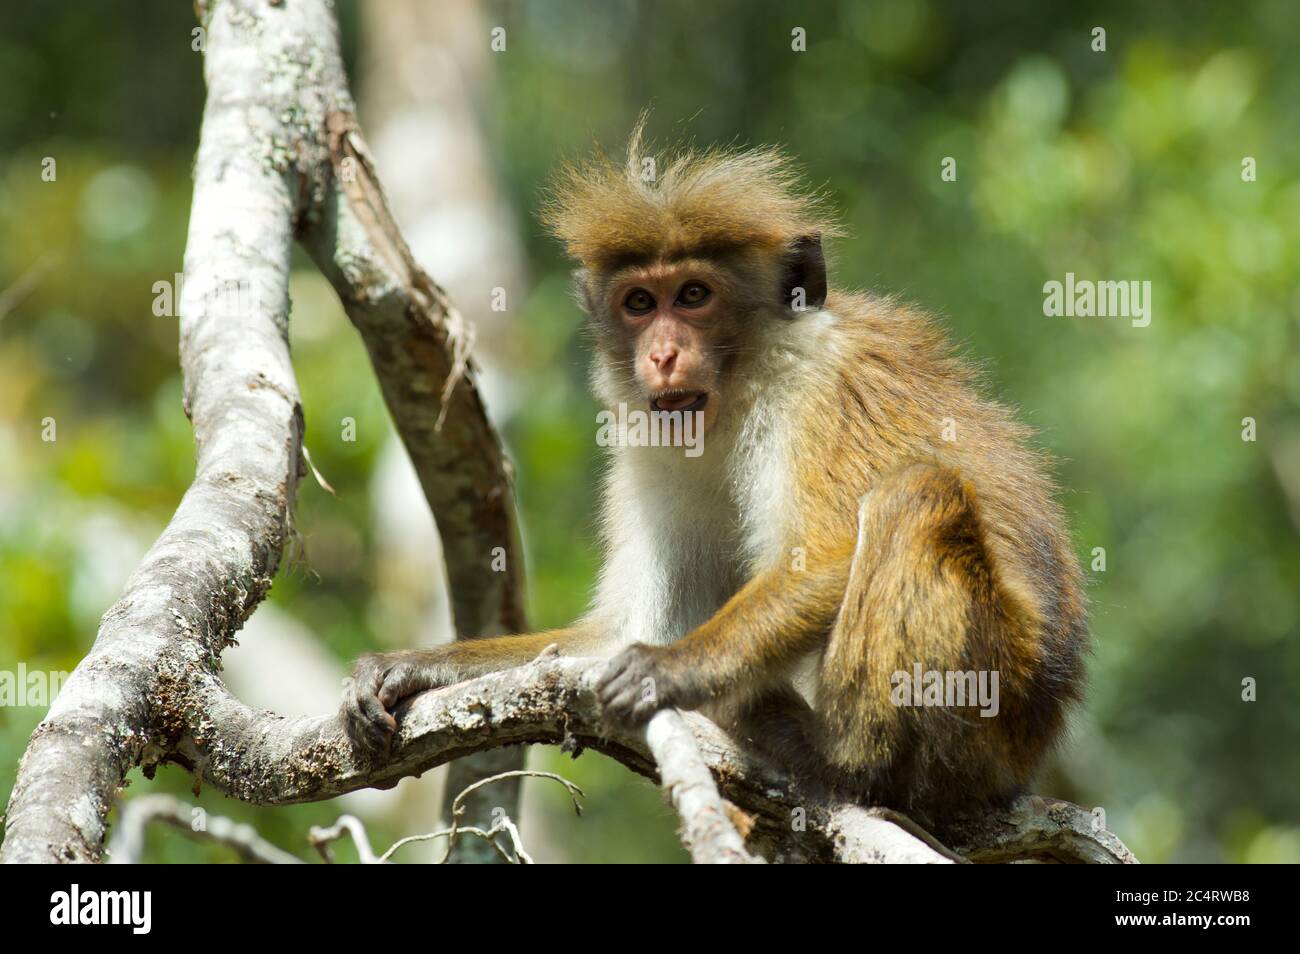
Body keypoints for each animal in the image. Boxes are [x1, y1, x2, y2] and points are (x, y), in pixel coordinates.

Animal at [340, 123, 1092, 816]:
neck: (737, 391)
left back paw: (847, 760)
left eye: (695, 294)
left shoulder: (821, 390)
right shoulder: (646, 445)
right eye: (640, 303)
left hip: (988, 715)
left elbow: (824, 555)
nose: (663, 354)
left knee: (917, 493)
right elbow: (618, 628)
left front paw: (669, 668)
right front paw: (414, 668)